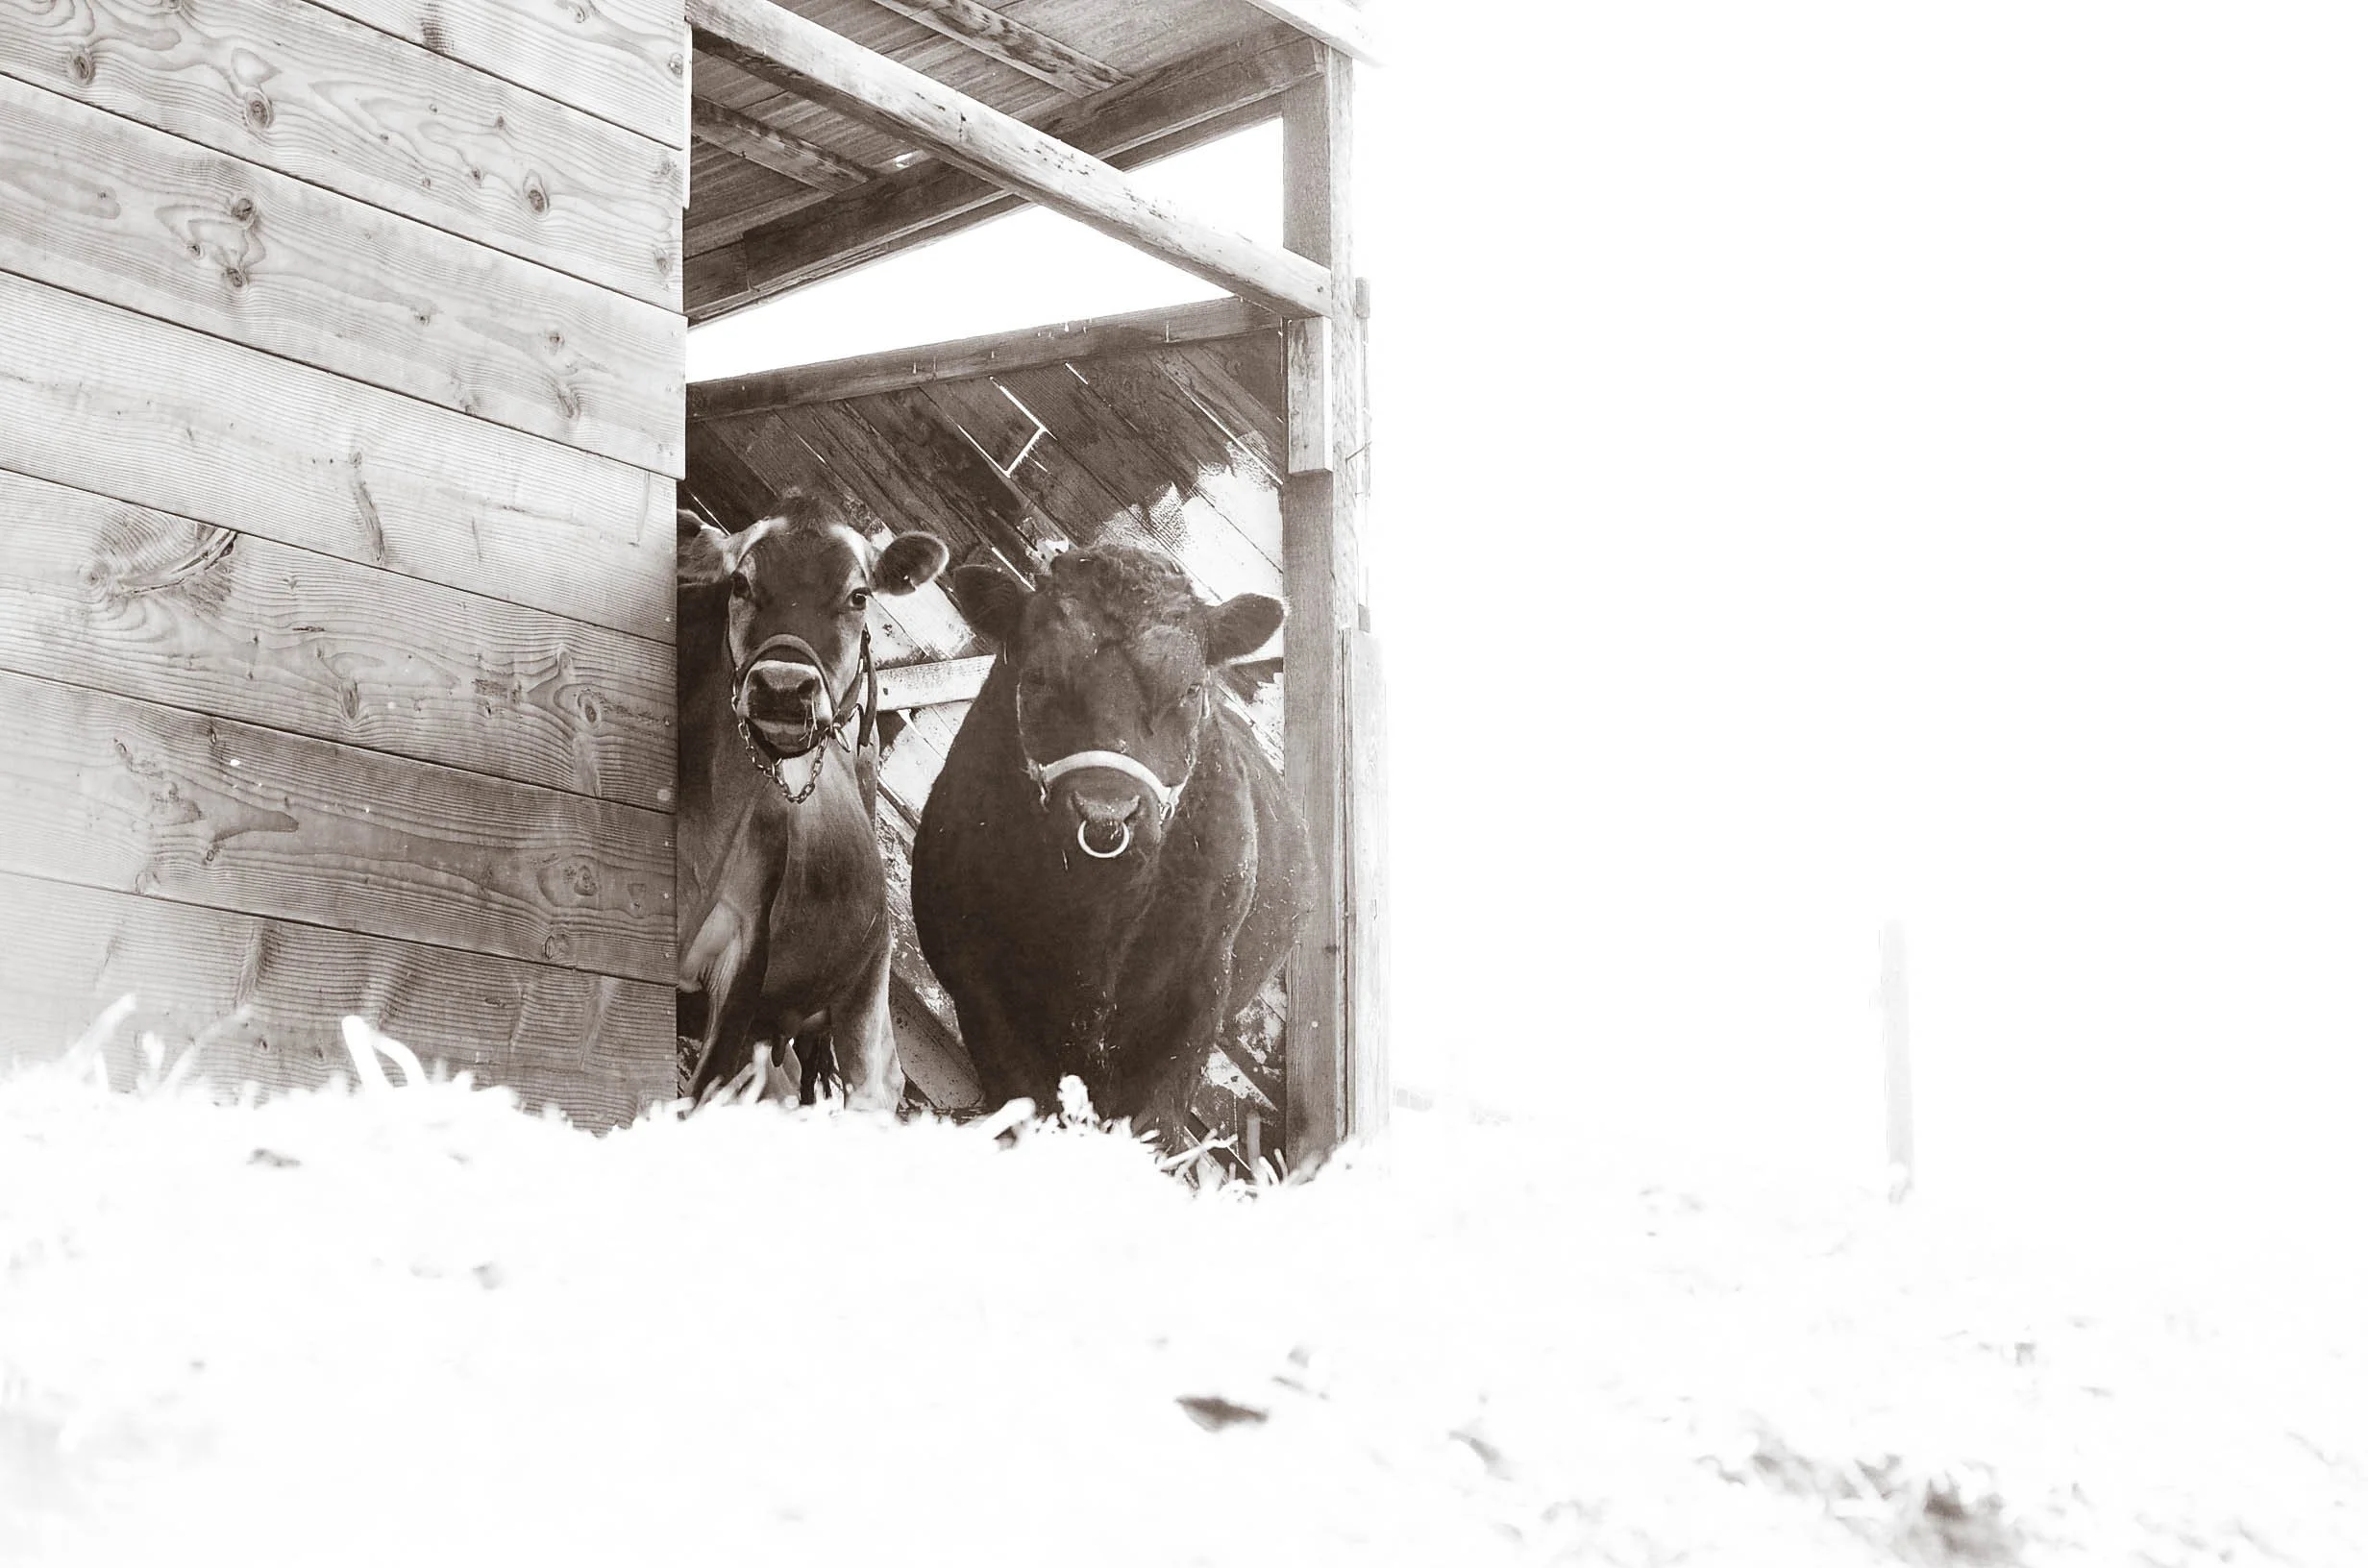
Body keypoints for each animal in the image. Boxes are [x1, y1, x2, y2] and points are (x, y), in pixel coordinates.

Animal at [676, 495, 947, 1108]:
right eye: (740, 583)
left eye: (859, 595)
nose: (781, 687)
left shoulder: (747, 960)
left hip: (869, 994)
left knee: (879, 1081)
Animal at [912, 543, 1315, 1150]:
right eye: (1037, 676)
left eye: (1190, 689)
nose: (1106, 815)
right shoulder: (976, 981)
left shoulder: (1201, 989)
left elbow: (1155, 1125)